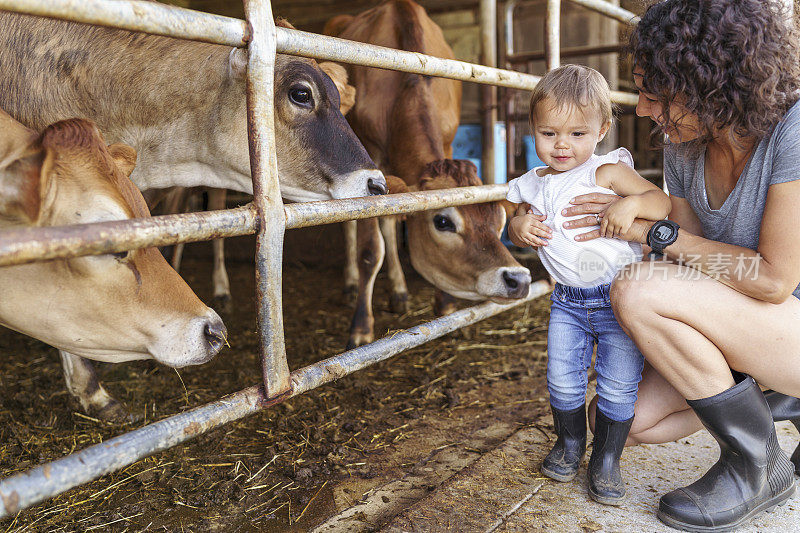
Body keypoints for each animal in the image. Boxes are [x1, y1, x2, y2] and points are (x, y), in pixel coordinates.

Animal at [324, 0, 532, 348]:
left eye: (499, 219)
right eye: (443, 222)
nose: (518, 279)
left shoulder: (447, 139)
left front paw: (445, 306)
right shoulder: (368, 156)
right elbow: (370, 250)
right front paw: (361, 327)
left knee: (390, 223)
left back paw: (399, 291)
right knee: (352, 224)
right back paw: (351, 285)